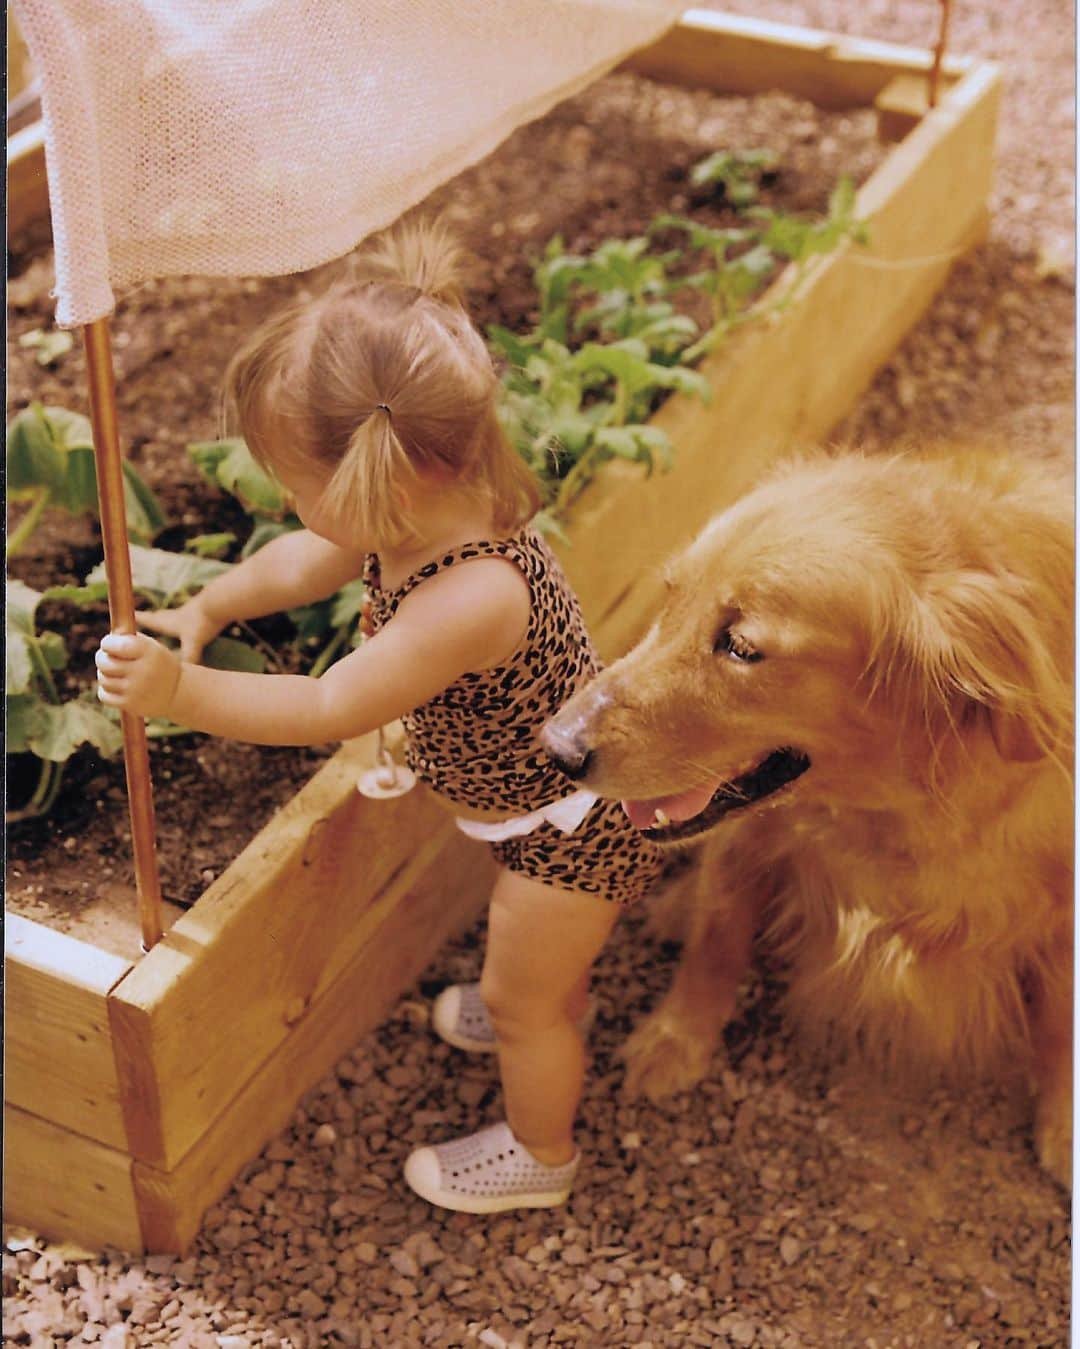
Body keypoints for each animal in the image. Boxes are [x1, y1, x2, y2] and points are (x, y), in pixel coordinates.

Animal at [544, 450, 1073, 1181]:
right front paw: (675, 1038)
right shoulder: (749, 835)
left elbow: (1061, 1024)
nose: (556, 745)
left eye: (740, 647)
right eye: (670, 599)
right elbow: (716, 941)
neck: (885, 815)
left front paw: (1064, 1125)